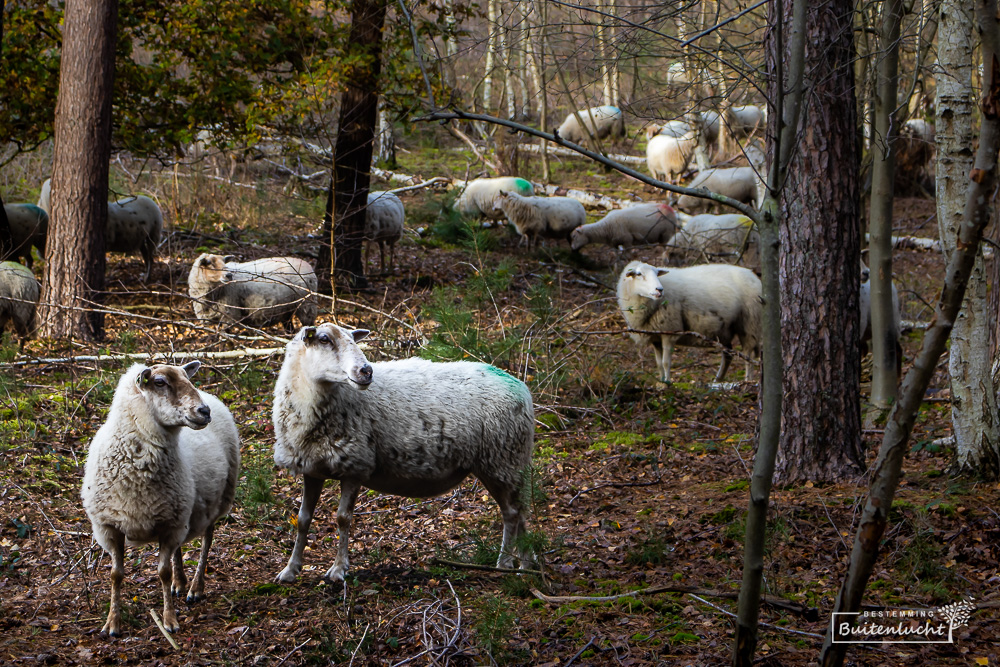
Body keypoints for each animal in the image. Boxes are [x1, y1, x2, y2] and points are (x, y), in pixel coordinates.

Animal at [80, 362, 240, 640]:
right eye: (160, 382)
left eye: (187, 378)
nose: (204, 411)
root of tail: (212, 395)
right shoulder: (110, 526)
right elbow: (115, 575)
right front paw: (112, 622)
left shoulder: (170, 525)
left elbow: (162, 573)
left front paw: (169, 620)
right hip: (181, 509)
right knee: (179, 548)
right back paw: (180, 582)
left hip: (216, 500)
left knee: (207, 541)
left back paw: (195, 587)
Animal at [186, 252, 314, 330]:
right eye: (210, 264)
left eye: (224, 263)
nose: (229, 275)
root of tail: (308, 265)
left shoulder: (229, 316)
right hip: (287, 310)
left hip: (307, 306)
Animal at [274, 324, 536, 584]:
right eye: (324, 339)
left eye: (353, 339)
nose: (366, 371)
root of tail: (522, 388)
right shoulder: (312, 469)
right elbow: (303, 519)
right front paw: (290, 570)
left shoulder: (356, 465)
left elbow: (343, 518)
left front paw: (339, 569)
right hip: (506, 463)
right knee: (520, 512)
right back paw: (526, 565)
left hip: (502, 459)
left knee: (512, 514)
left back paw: (505, 563)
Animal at [612, 262, 760, 384]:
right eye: (638, 274)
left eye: (657, 273)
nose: (659, 289)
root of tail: (753, 276)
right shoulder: (656, 337)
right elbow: (659, 364)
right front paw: (661, 381)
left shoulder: (670, 330)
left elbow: (666, 362)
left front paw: (668, 382)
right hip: (724, 331)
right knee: (728, 354)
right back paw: (718, 380)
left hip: (749, 324)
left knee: (748, 355)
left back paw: (748, 380)